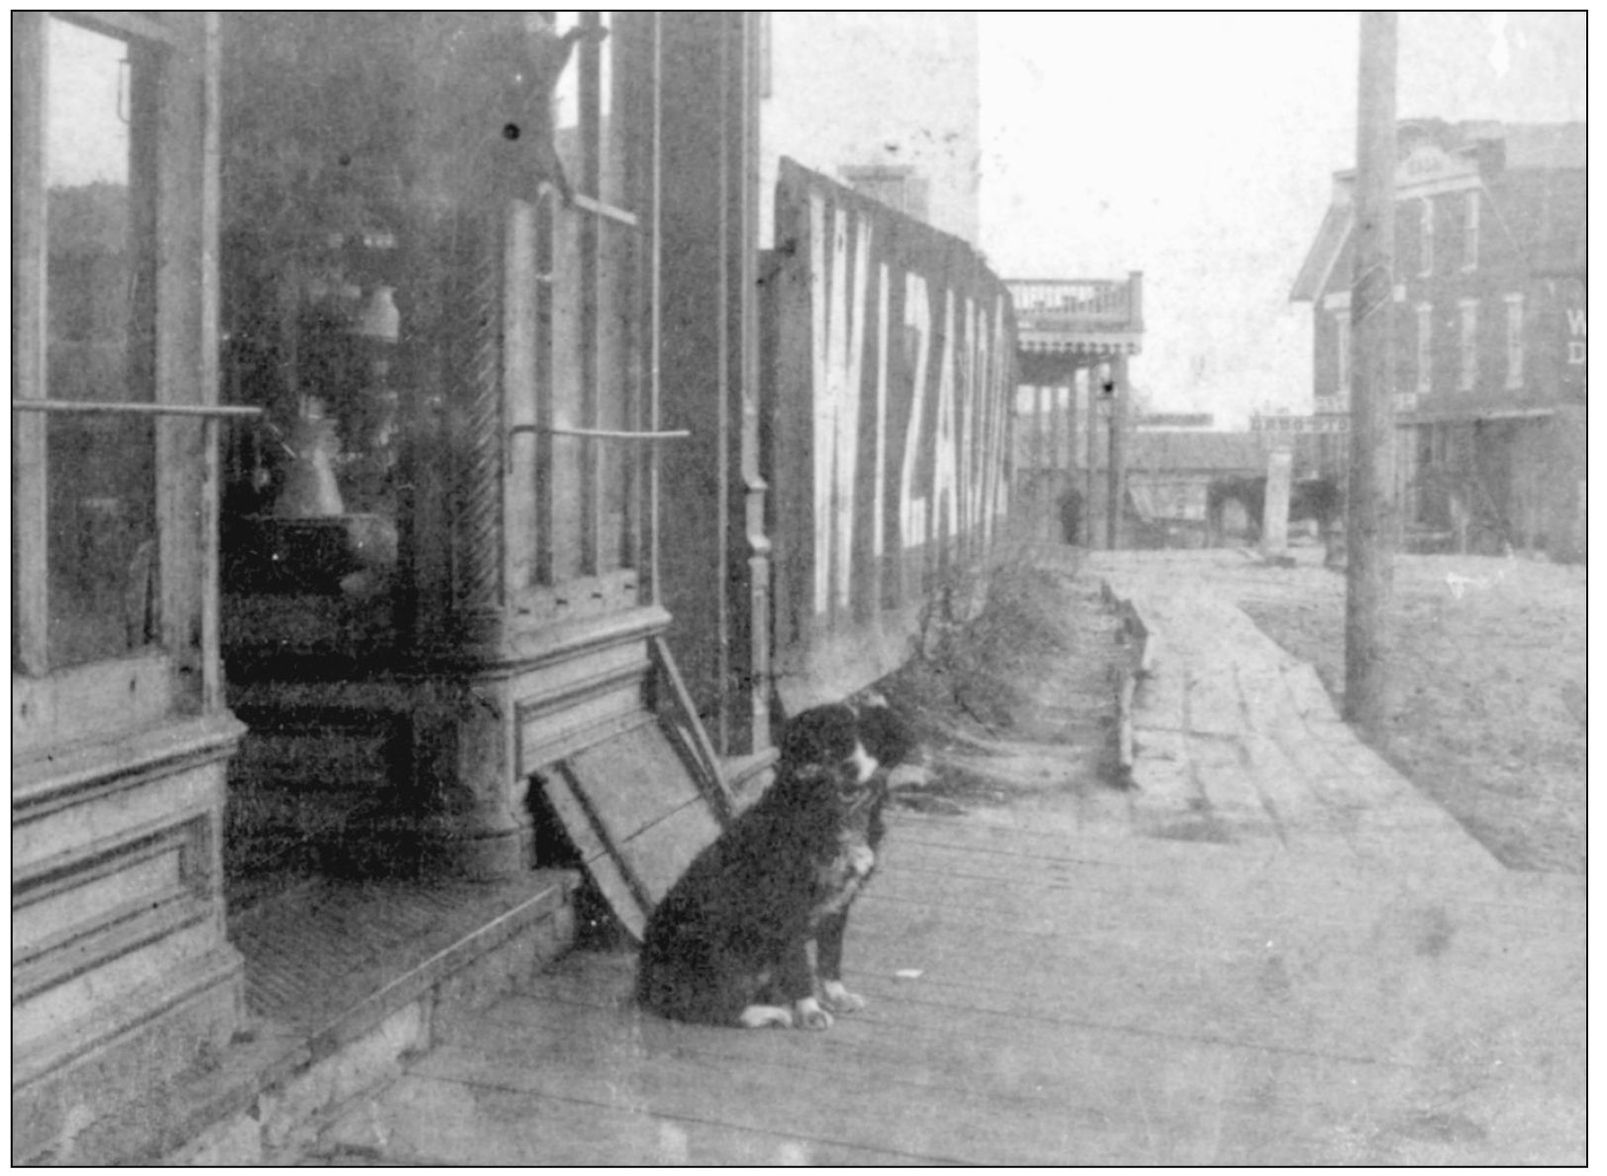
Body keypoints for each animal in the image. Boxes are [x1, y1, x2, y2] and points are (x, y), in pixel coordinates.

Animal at [636, 697, 919, 1028]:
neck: (833, 816)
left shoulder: (839, 905)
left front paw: (837, 996)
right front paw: (809, 1011)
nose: (850, 767)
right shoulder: (787, 907)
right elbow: (798, 966)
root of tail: (645, 980)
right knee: (711, 1008)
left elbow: (829, 958)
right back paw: (769, 1012)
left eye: (872, 740)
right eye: (833, 741)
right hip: (713, 945)